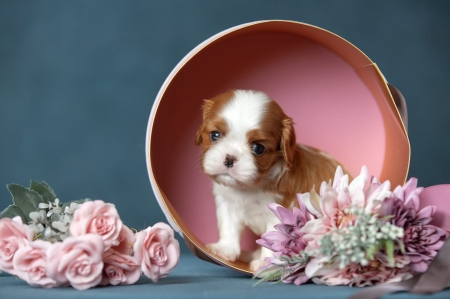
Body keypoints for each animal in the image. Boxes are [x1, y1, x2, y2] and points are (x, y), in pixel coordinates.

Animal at [195, 89, 346, 272]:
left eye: (258, 148)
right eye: (215, 135)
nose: (230, 158)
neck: (249, 186)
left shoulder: (280, 210)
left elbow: (273, 238)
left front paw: (267, 263)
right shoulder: (227, 203)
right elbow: (228, 227)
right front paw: (225, 249)